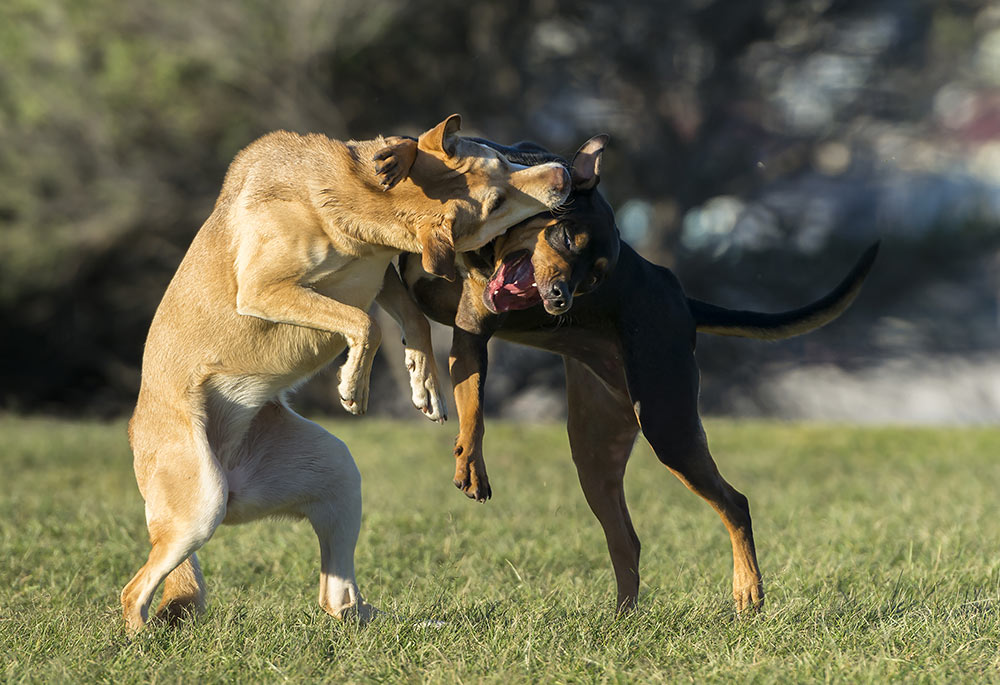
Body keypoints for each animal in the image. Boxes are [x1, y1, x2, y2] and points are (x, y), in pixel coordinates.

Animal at [394, 136, 880, 612]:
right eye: (566, 237)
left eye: (594, 280)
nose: (561, 298)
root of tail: (683, 301)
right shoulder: (467, 333)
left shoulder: (473, 332)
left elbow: (474, 410)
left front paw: (471, 468)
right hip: (595, 450)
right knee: (627, 539)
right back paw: (622, 620)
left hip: (668, 426)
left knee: (734, 504)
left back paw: (747, 592)